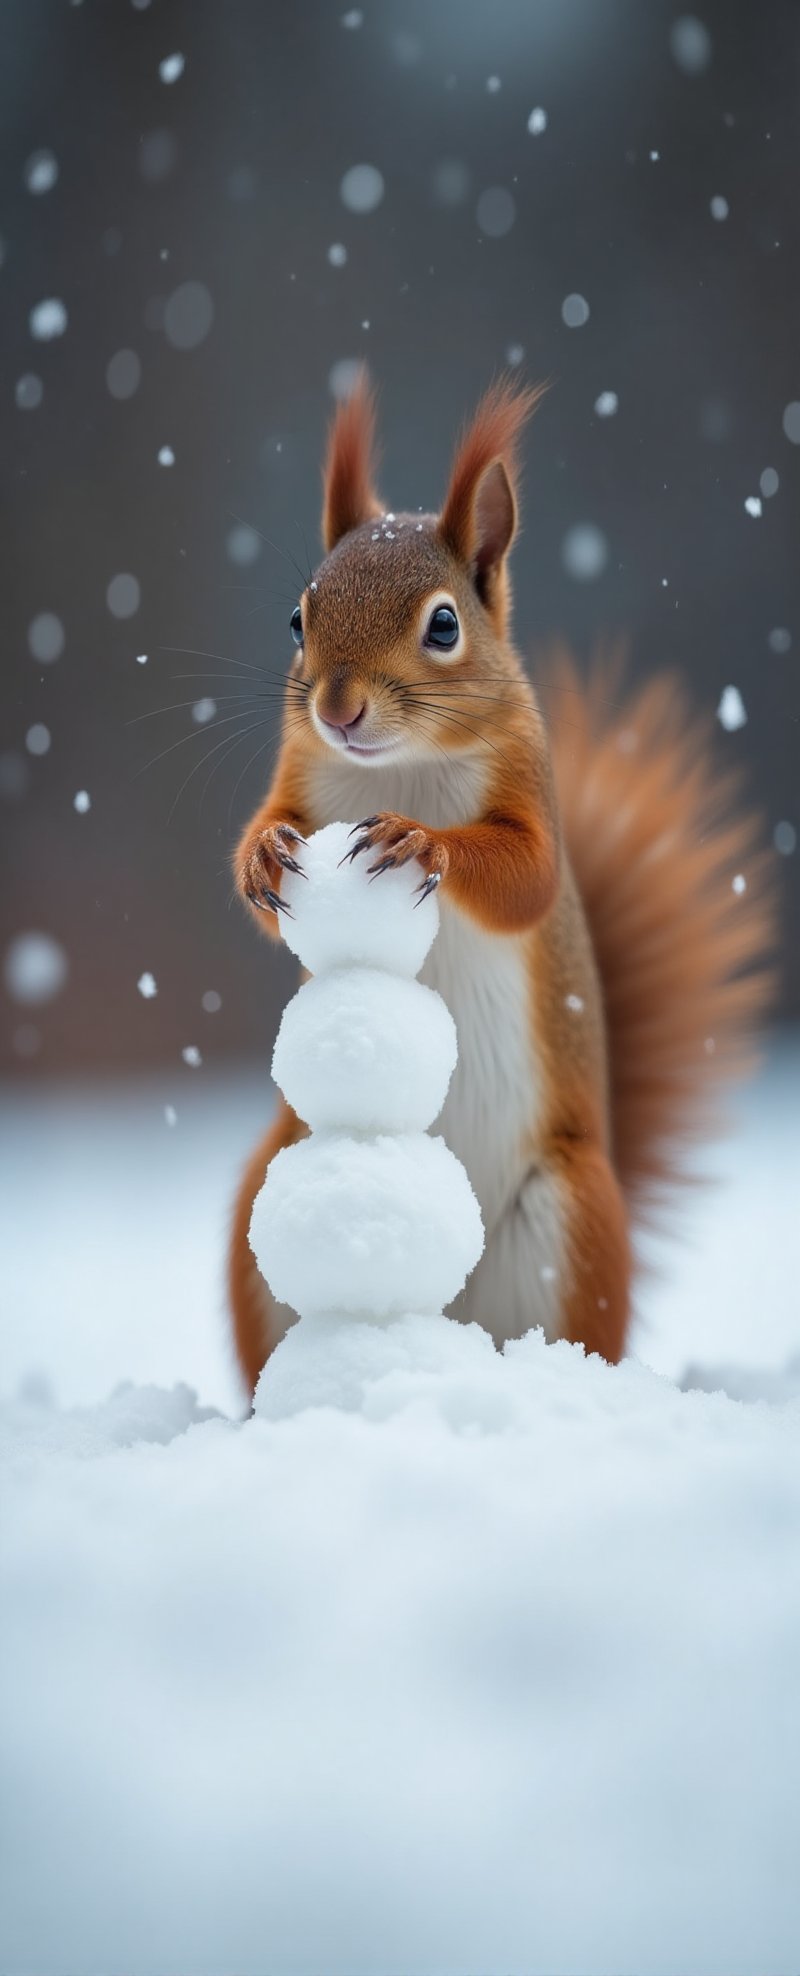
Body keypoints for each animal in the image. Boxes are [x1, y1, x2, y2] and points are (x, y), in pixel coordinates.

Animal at [228, 373, 774, 1399]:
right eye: (296, 619)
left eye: (444, 626)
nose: (337, 707)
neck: (398, 764)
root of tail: (455, 1318)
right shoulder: (298, 774)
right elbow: (267, 867)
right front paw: (261, 857)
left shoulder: (527, 791)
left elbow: (523, 879)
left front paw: (421, 840)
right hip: (260, 1212)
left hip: (571, 1219)